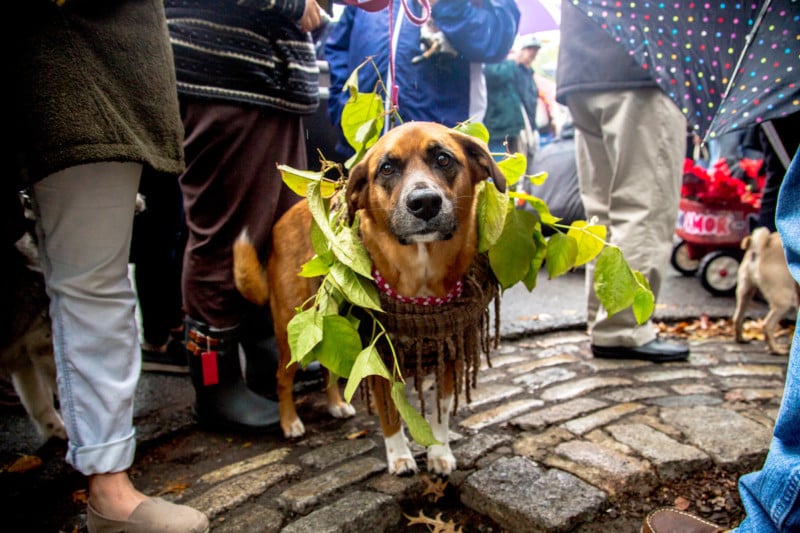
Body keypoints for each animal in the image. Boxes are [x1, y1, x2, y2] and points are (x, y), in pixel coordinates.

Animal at [233, 121, 506, 474]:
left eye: (444, 159)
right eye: (387, 168)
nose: (425, 203)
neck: (421, 273)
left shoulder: (449, 354)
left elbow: (440, 413)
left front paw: (439, 453)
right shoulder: (378, 356)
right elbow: (390, 414)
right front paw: (400, 456)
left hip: (331, 323)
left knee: (329, 366)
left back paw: (336, 404)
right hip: (291, 327)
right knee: (282, 376)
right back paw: (290, 422)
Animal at [732, 224, 800, 354]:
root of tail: (761, 248)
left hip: (745, 292)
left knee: (738, 318)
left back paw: (741, 339)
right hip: (784, 301)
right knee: (767, 325)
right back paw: (776, 350)